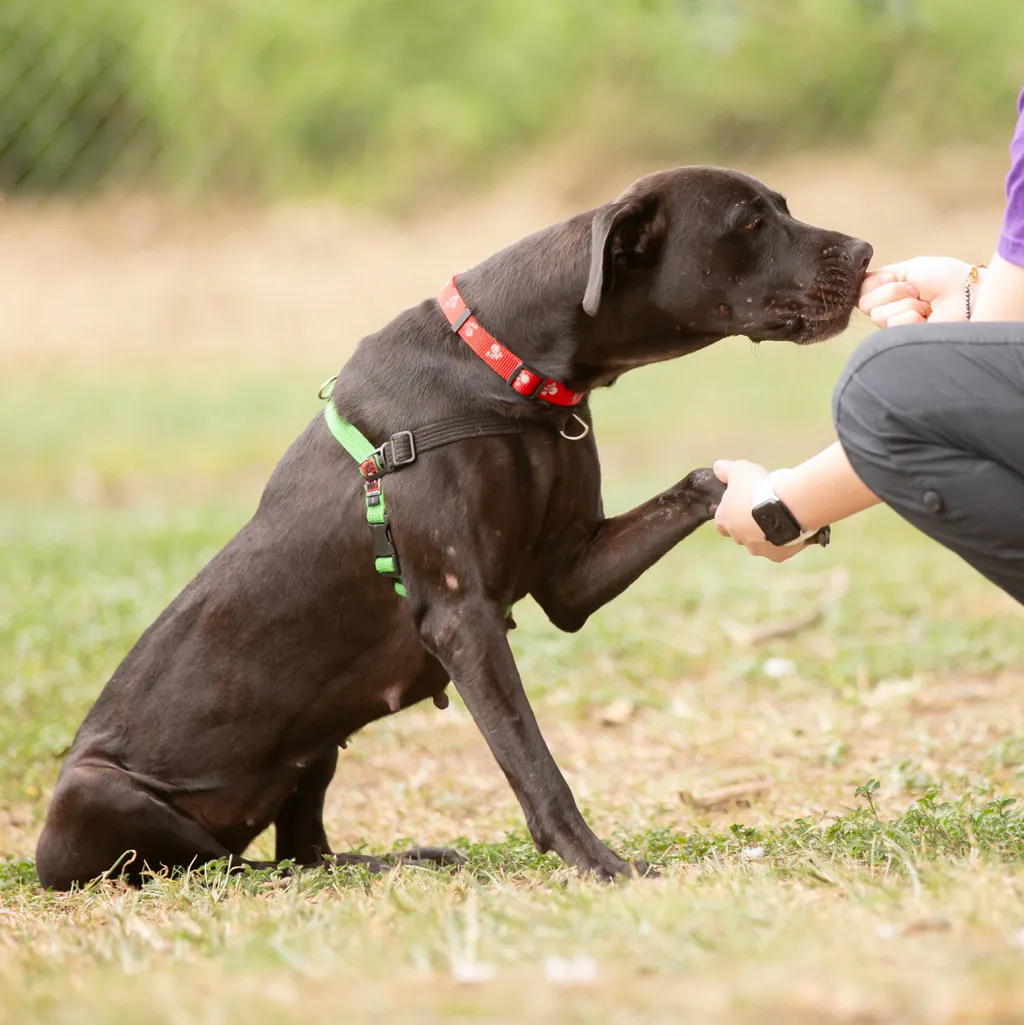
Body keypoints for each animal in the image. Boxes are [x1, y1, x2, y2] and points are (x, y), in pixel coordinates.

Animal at [37, 168, 873, 889]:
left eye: (781, 205)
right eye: (751, 223)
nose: (866, 252)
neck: (512, 369)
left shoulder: (569, 577)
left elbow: (699, 485)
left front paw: (777, 502)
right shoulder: (461, 617)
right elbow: (534, 764)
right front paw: (598, 861)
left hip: (316, 746)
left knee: (304, 851)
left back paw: (398, 859)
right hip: (100, 792)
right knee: (223, 865)